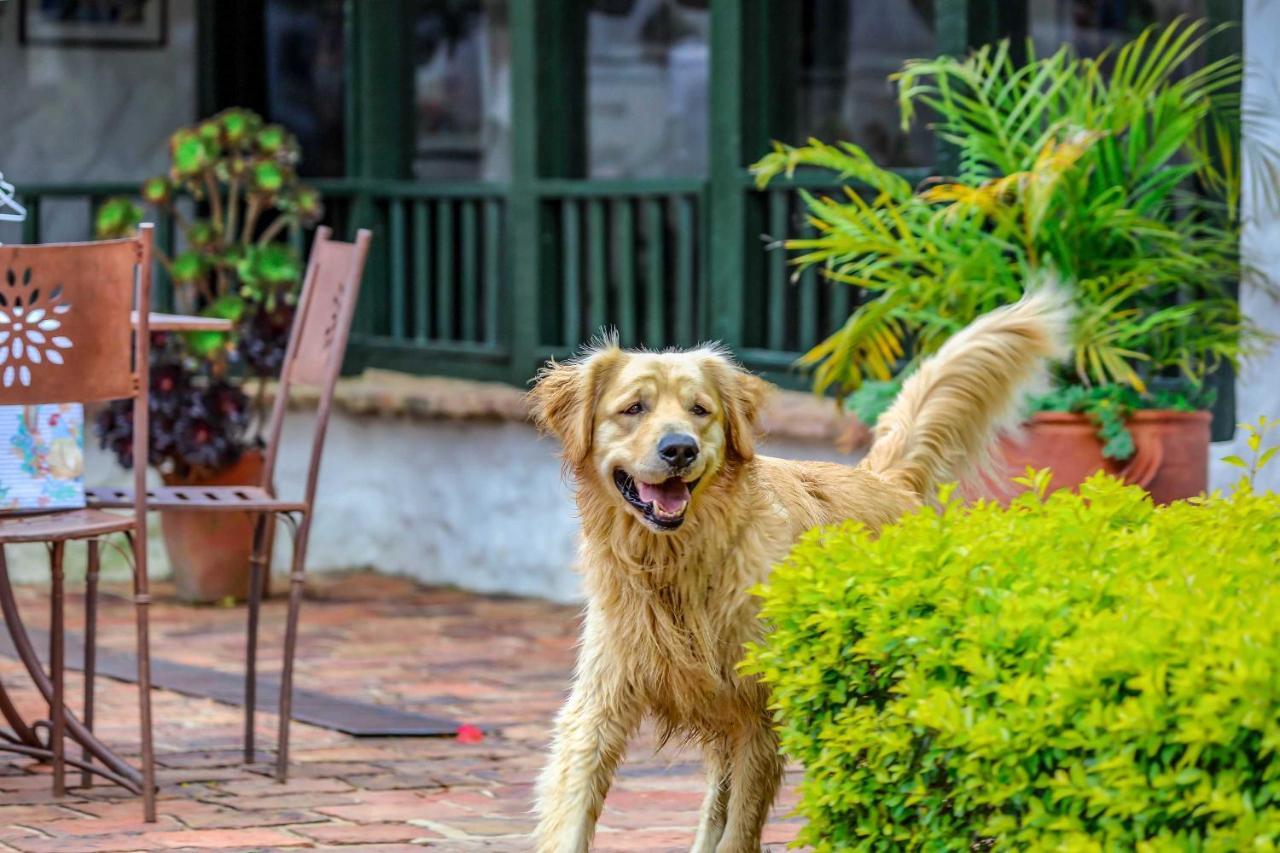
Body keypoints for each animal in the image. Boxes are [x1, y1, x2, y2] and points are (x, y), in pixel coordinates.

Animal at [527, 289, 1070, 845]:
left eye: (700, 411)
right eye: (633, 408)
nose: (679, 448)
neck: (678, 564)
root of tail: (888, 483)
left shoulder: (759, 717)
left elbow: (739, 831)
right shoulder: (600, 705)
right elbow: (573, 813)